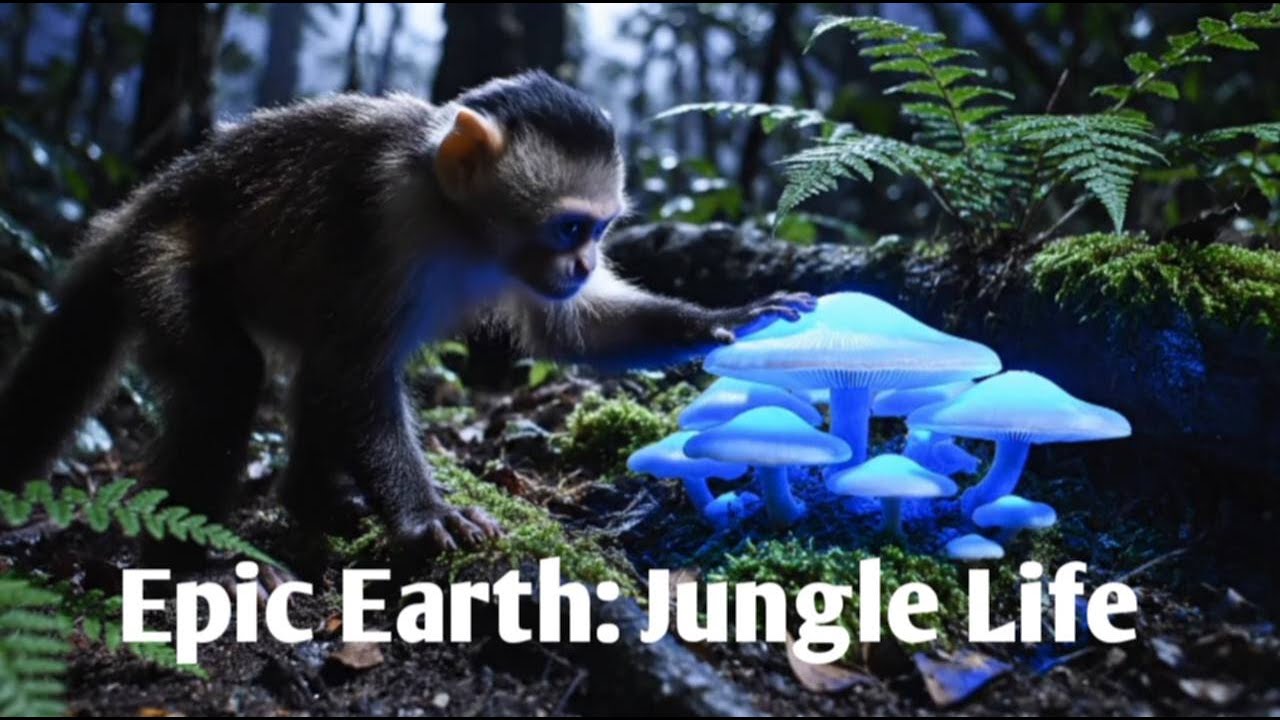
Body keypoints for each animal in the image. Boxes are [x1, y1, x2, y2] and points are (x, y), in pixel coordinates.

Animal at [0, 71, 814, 566]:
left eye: (601, 232)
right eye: (570, 230)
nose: (584, 266)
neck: (459, 224)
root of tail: (133, 213)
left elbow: (565, 330)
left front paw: (728, 317)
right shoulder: (389, 212)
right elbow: (355, 368)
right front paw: (424, 517)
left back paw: (312, 501)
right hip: (154, 266)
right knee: (242, 372)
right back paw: (180, 558)